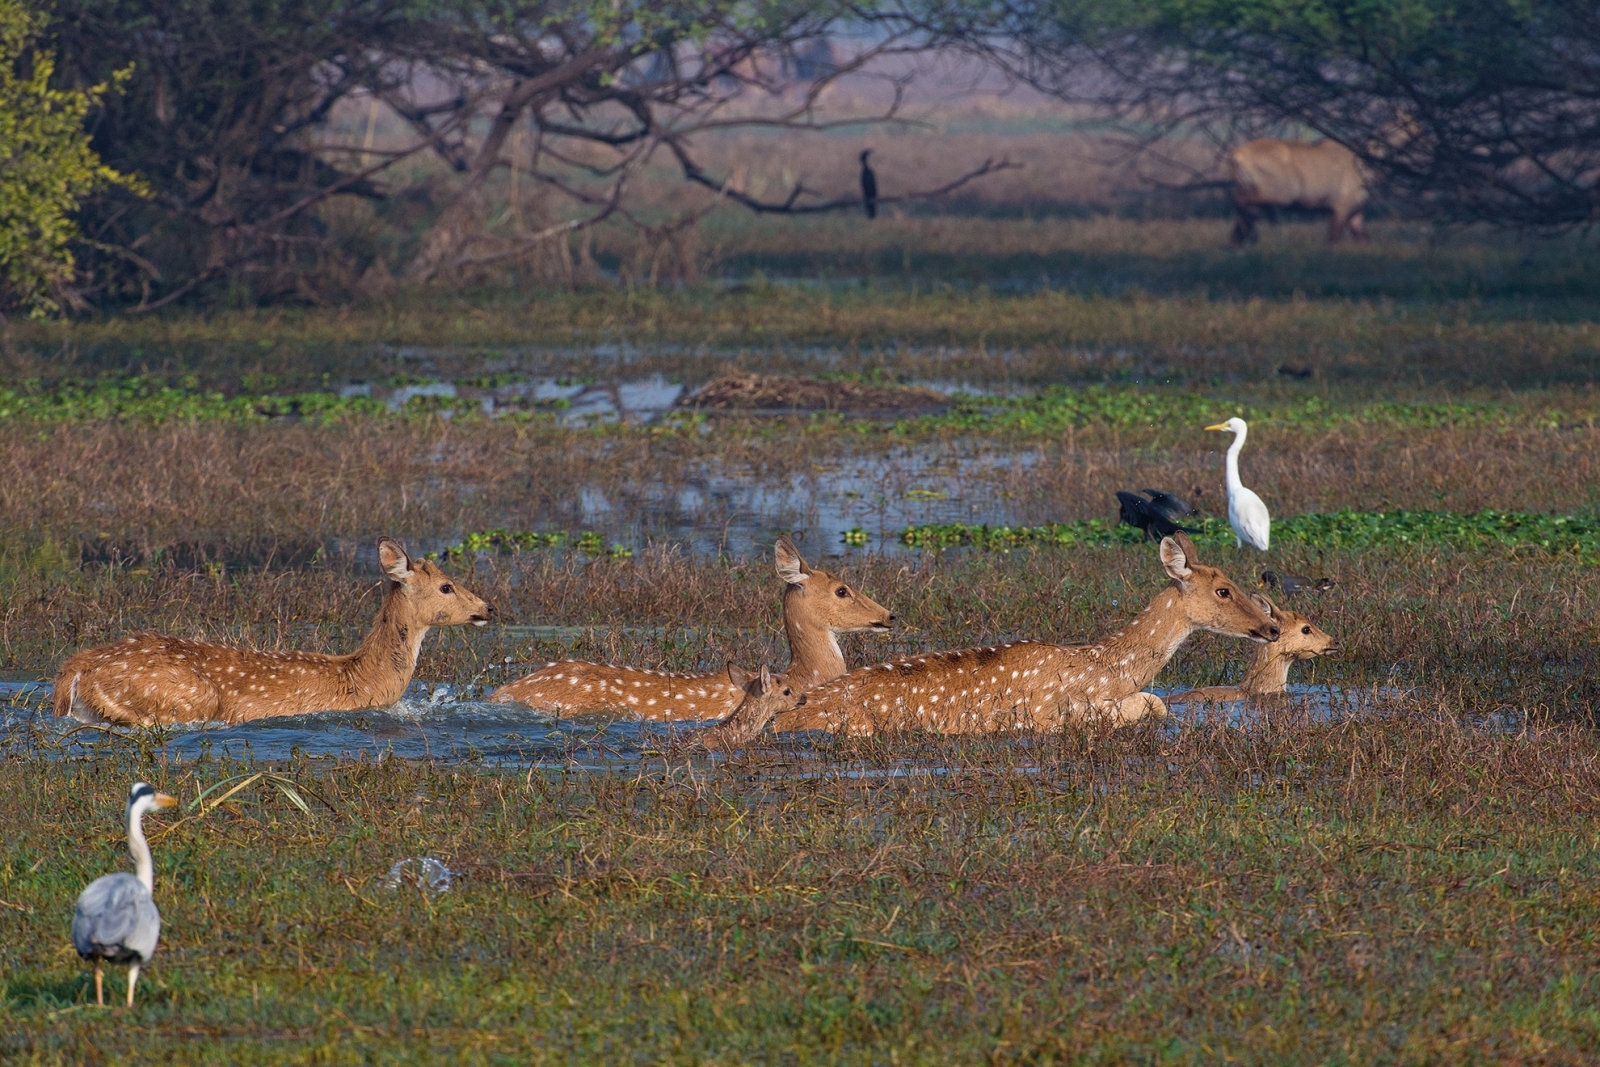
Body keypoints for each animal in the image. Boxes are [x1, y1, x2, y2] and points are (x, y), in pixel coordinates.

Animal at [1228, 137, 1369, 244]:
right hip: (1280, 194)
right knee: (1238, 199)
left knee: (1244, 210)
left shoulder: (1356, 211)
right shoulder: (1342, 207)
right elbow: (1333, 238)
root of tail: (1237, 155)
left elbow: (1362, 238)